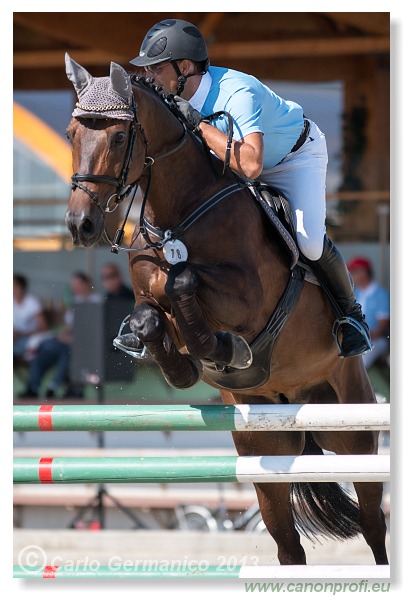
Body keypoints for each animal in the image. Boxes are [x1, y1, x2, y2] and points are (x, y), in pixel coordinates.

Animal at [64, 54, 390, 564]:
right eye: (71, 134)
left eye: (118, 137)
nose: (81, 225)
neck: (179, 216)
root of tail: (295, 399)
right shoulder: (147, 297)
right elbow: (149, 317)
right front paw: (182, 364)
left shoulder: (249, 299)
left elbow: (185, 280)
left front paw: (224, 349)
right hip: (263, 450)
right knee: (287, 545)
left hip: (353, 431)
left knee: (374, 524)